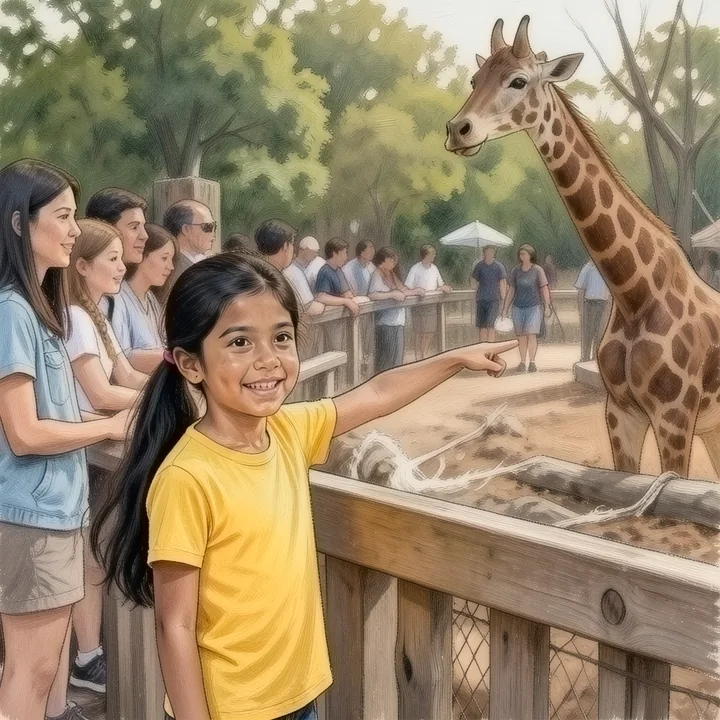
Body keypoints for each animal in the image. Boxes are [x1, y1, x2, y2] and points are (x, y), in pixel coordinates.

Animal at [445, 15, 720, 480]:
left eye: (518, 80)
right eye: (474, 79)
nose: (458, 130)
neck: (633, 294)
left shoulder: (675, 417)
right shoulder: (621, 413)